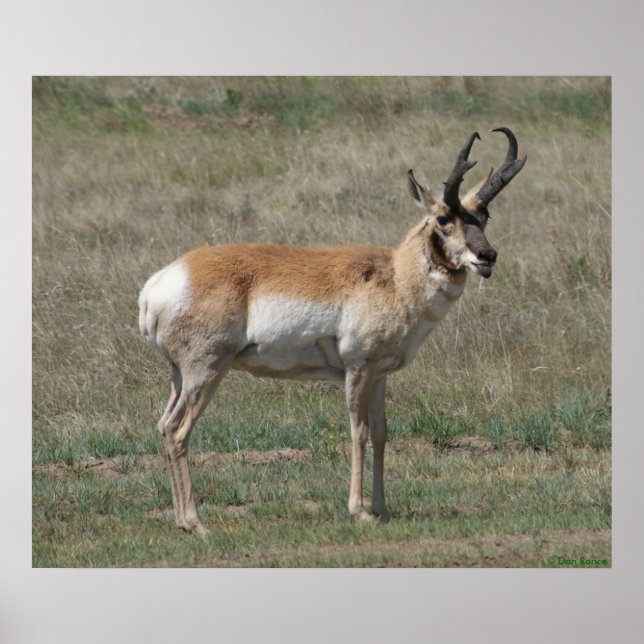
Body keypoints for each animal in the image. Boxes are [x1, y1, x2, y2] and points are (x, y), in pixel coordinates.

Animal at [138, 127, 526, 535]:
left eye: (483, 215)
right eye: (442, 218)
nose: (487, 257)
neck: (396, 276)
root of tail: (159, 285)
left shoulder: (381, 374)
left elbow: (381, 433)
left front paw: (382, 509)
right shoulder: (358, 369)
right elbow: (358, 431)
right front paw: (359, 511)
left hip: (180, 377)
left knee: (164, 427)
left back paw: (182, 520)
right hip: (206, 371)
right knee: (178, 430)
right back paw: (196, 523)